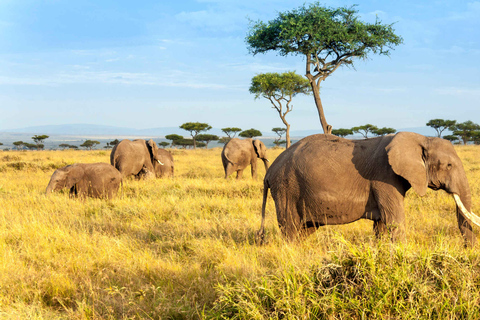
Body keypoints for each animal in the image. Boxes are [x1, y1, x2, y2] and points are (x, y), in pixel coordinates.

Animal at [258, 132, 480, 245]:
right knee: (291, 228)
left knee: (305, 229)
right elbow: (395, 221)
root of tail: (268, 174)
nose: (468, 250)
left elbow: (381, 224)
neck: (420, 138)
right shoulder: (384, 177)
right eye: (448, 165)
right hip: (287, 187)